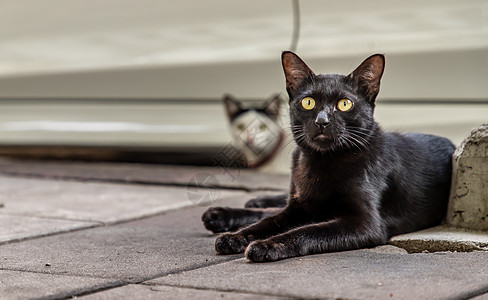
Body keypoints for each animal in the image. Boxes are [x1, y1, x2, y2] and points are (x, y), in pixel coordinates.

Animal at [201, 52, 454, 262]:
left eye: (345, 104)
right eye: (308, 102)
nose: (321, 121)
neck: (322, 161)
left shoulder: (365, 223)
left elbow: (309, 231)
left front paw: (267, 245)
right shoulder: (297, 209)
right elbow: (268, 222)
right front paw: (236, 237)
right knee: (270, 210)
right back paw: (224, 214)